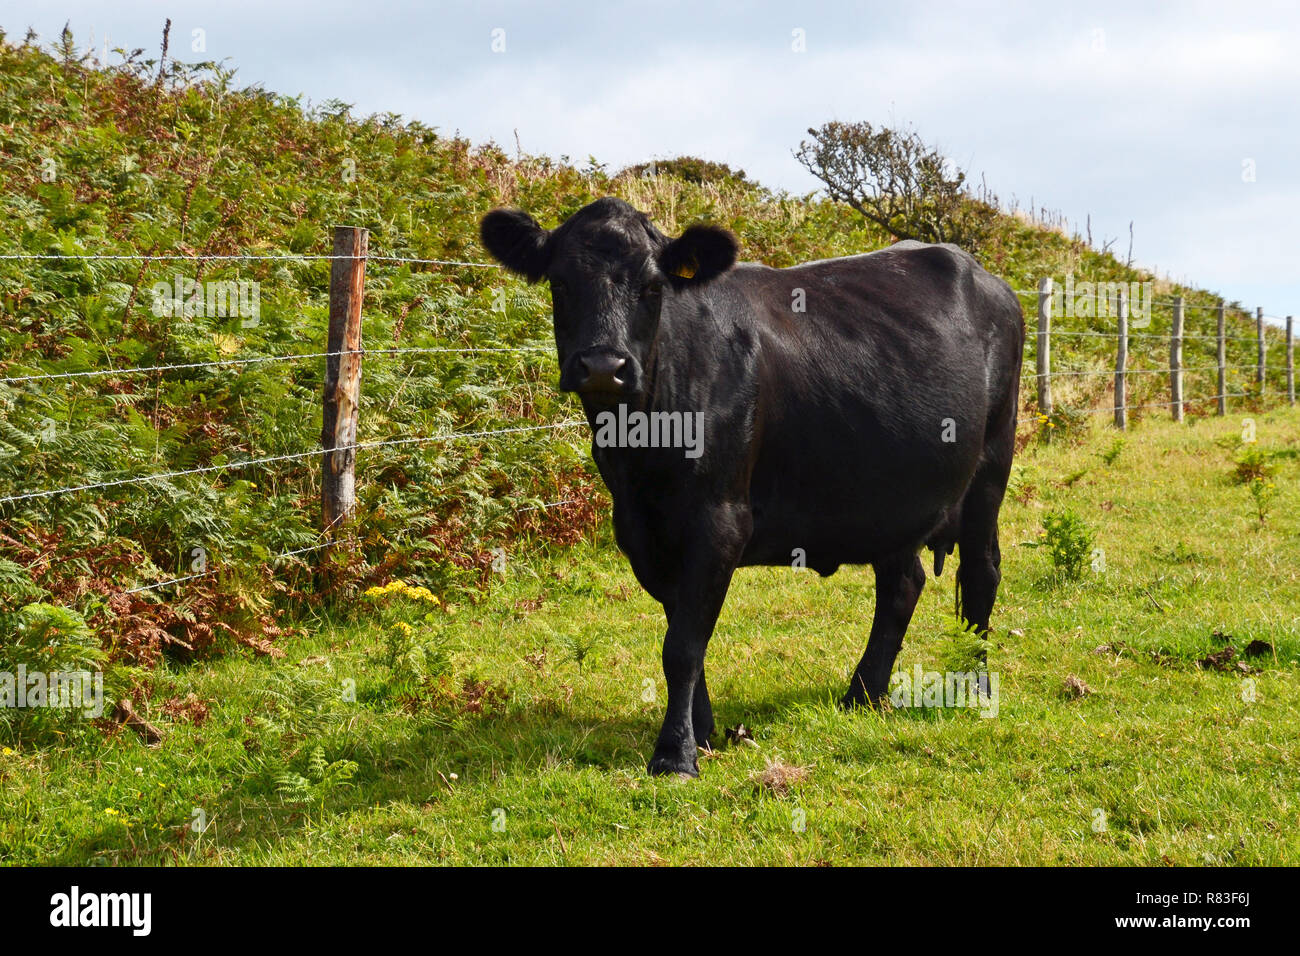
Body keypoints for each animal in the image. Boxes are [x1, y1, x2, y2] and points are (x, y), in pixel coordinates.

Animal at [480, 197, 1023, 777]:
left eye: (652, 287)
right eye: (560, 284)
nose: (604, 366)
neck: (639, 455)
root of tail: (987, 276)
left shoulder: (719, 518)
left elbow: (683, 645)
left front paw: (675, 754)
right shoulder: (642, 532)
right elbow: (682, 632)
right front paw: (702, 733)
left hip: (991, 464)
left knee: (981, 572)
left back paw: (974, 686)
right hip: (892, 496)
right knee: (902, 584)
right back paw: (863, 694)